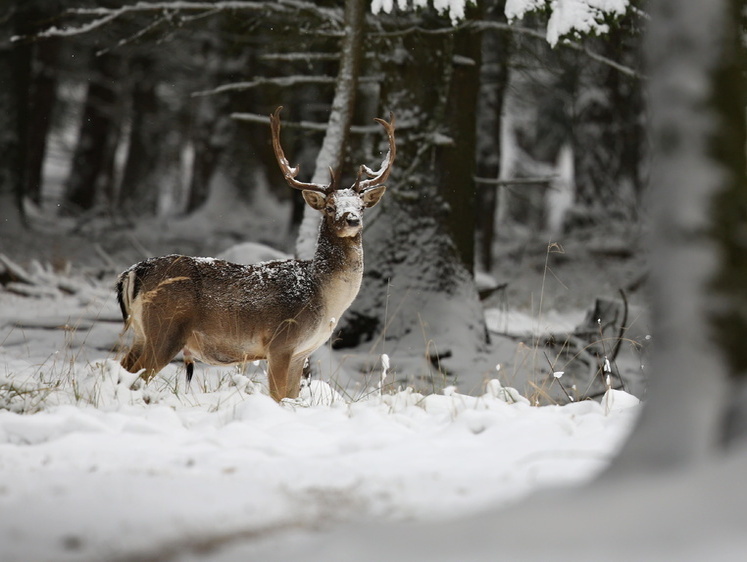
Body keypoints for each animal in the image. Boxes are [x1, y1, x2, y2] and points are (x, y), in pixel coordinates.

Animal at [115, 107, 398, 400]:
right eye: (330, 207)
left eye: (361, 206)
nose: (352, 219)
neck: (324, 298)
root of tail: (134, 272)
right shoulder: (280, 342)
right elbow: (278, 397)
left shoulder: (301, 353)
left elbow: (291, 396)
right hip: (165, 329)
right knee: (136, 378)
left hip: (141, 333)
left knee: (121, 372)